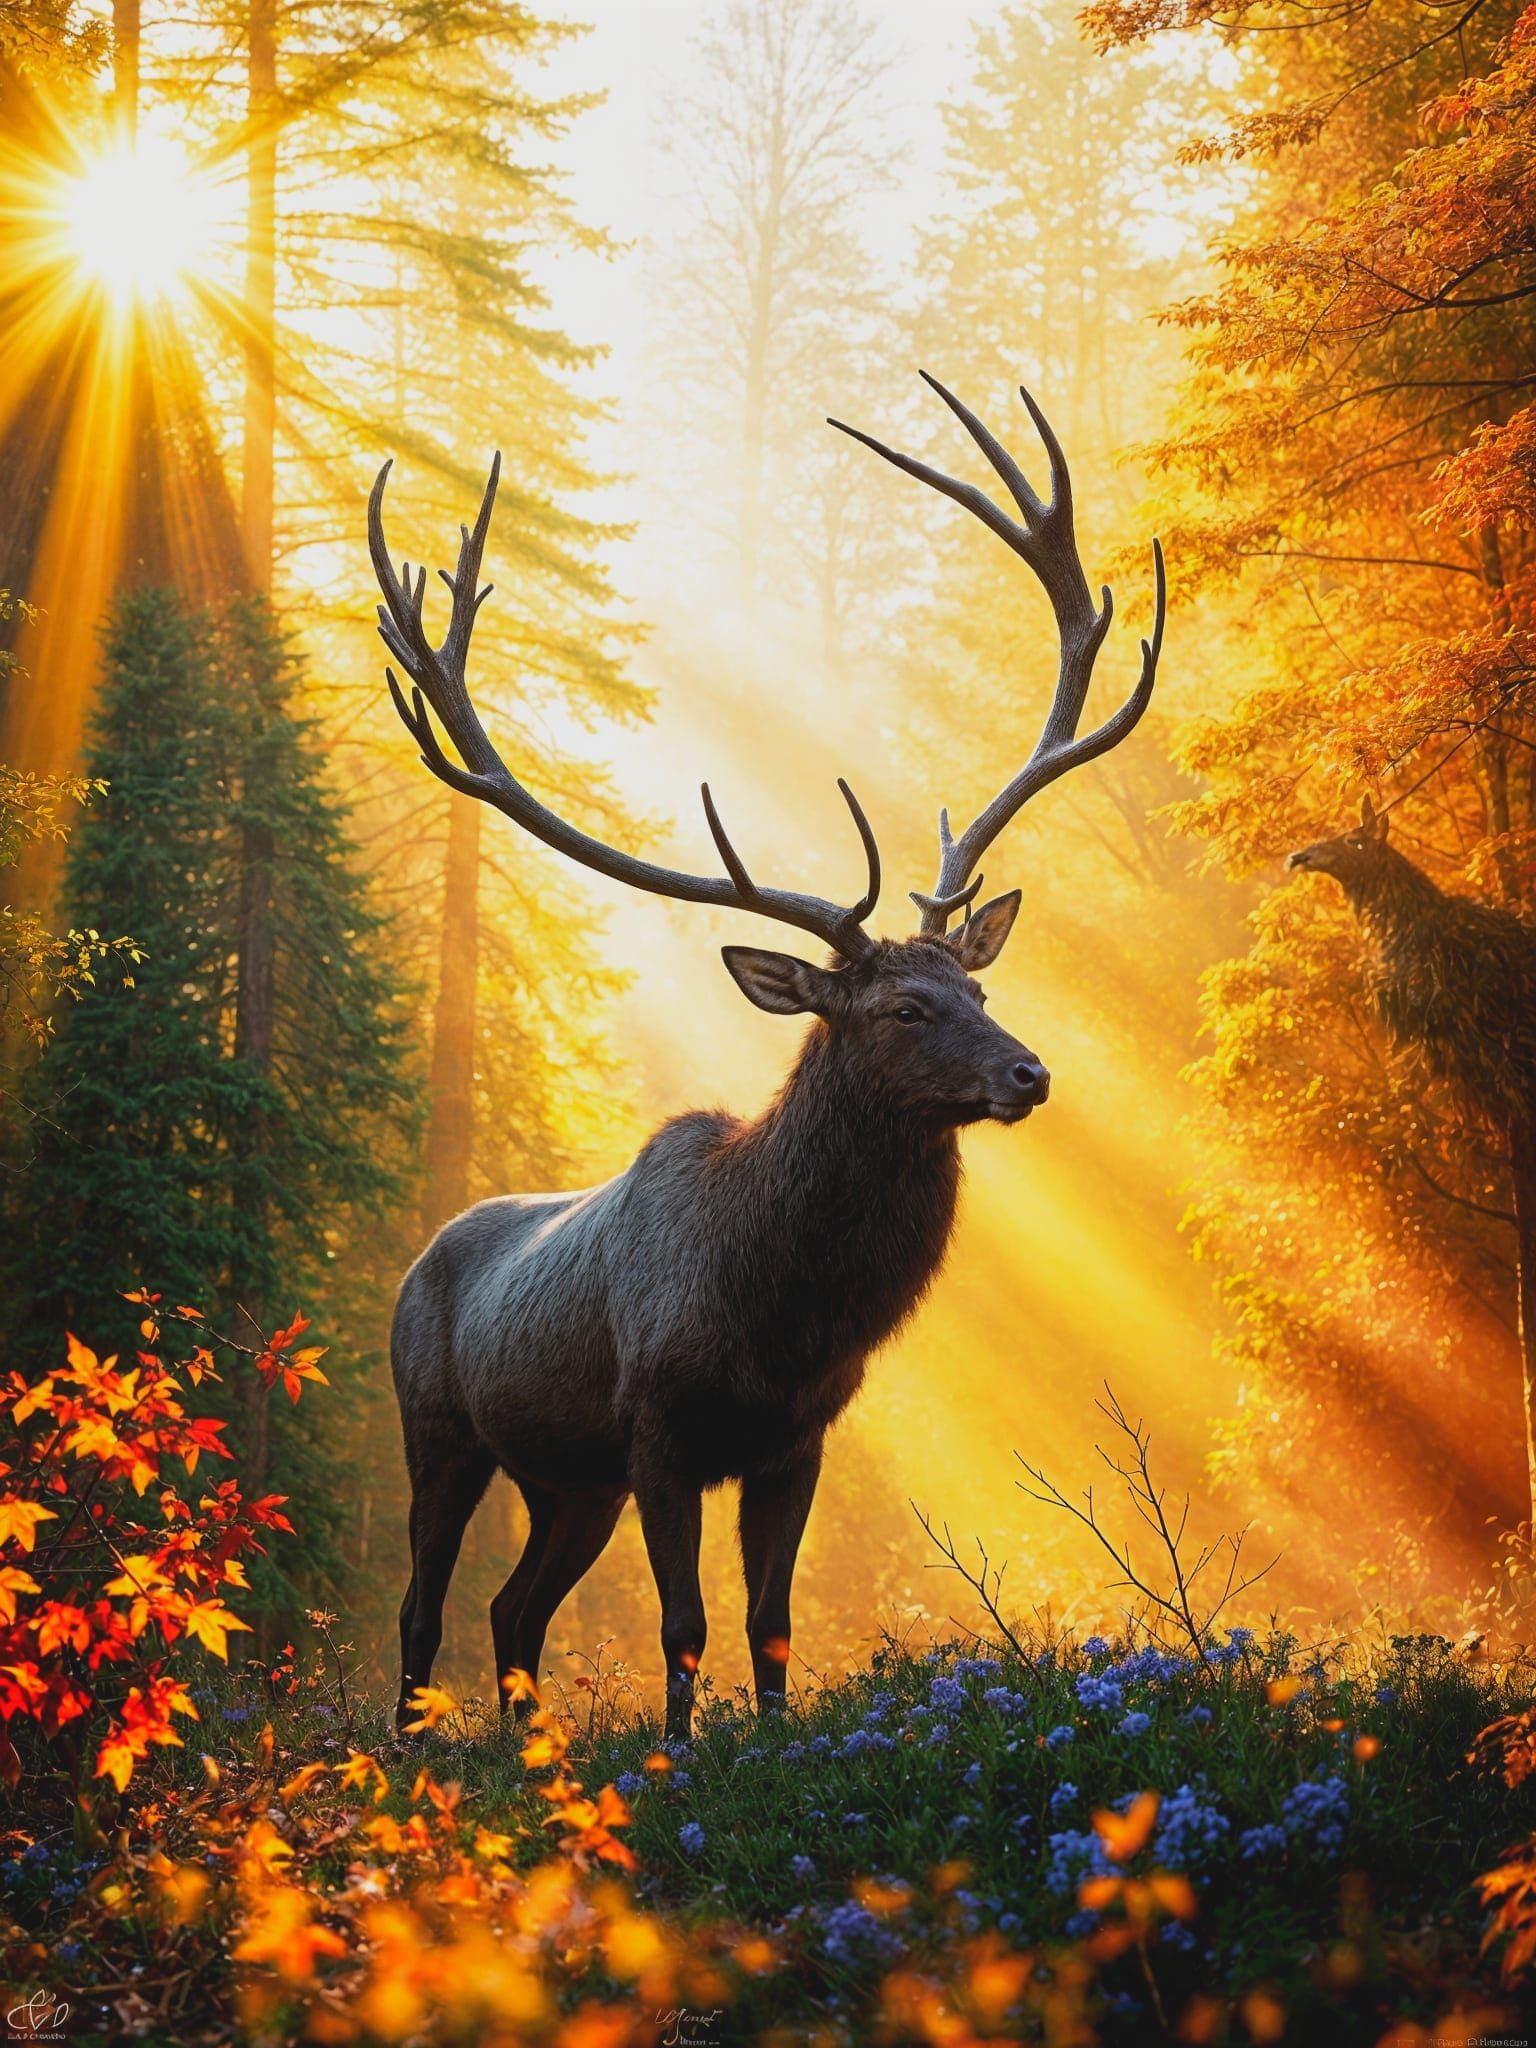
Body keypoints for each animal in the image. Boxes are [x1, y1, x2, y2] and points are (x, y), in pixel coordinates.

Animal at [368, 373, 1166, 1739]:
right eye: (900, 1008)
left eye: (978, 983)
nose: (1031, 1074)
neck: (780, 1309)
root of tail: (421, 1256)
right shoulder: (660, 1428)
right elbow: (685, 1625)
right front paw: (682, 1758)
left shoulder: (797, 1436)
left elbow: (771, 1624)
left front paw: (773, 1747)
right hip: (442, 1426)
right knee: (425, 1607)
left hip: (566, 1476)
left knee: (513, 1609)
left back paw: (523, 1755)